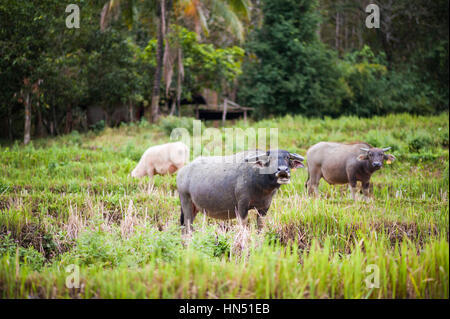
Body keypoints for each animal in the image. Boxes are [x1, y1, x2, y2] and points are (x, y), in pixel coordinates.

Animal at [177, 150, 306, 232]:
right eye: (270, 158)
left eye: (287, 157)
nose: (283, 170)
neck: (261, 186)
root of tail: (182, 172)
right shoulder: (242, 206)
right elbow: (244, 226)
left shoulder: (264, 208)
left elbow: (260, 226)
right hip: (186, 202)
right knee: (187, 226)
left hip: (194, 208)